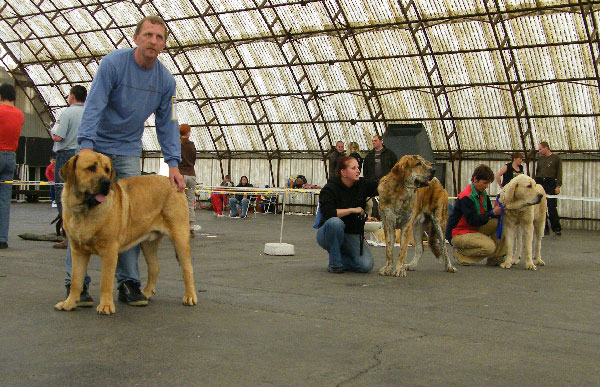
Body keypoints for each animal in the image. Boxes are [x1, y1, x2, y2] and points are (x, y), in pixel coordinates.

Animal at [52, 152, 196, 316]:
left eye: (107, 170)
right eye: (91, 168)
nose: (106, 182)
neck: (85, 210)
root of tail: (172, 181)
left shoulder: (109, 251)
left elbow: (105, 281)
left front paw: (106, 306)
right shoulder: (78, 251)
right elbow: (76, 280)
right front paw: (69, 303)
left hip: (179, 236)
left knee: (187, 268)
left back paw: (190, 296)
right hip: (148, 243)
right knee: (154, 267)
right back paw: (145, 293)